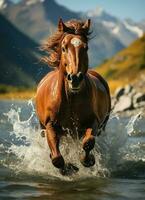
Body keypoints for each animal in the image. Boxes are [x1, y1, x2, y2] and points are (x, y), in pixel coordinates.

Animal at [35, 18, 111, 172]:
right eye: (64, 48)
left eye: (86, 48)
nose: (75, 78)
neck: (70, 100)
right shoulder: (50, 125)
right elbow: (57, 158)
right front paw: (69, 168)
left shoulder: (93, 122)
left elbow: (88, 142)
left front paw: (87, 160)